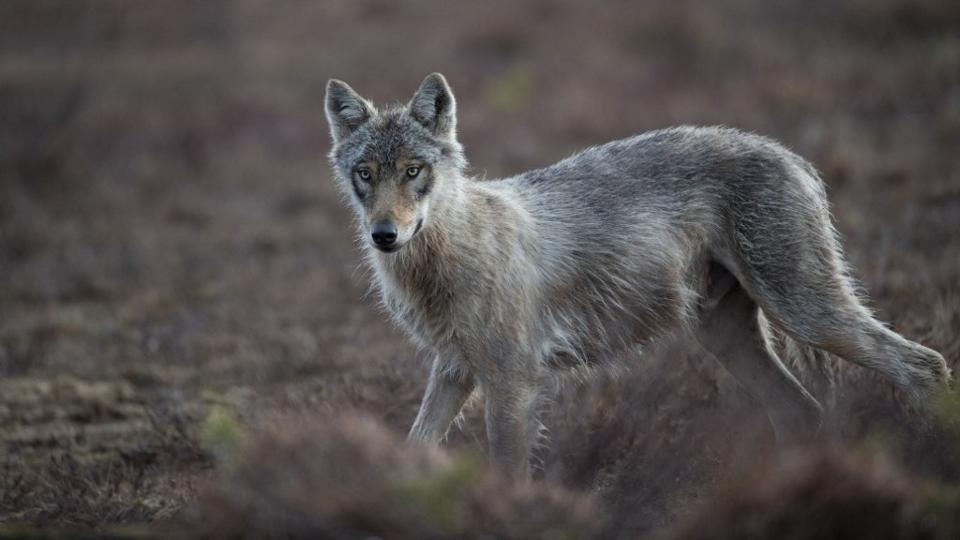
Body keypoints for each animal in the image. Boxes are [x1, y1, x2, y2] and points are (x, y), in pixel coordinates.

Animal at [320, 73, 944, 476]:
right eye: (366, 173)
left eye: (413, 172)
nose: (384, 235)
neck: (441, 259)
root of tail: (791, 155)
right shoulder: (454, 370)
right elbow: (414, 447)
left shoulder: (513, 381)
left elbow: (507, 475)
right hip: (727, 335)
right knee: (804, 412)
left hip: (807, 315)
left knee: (925, 365)